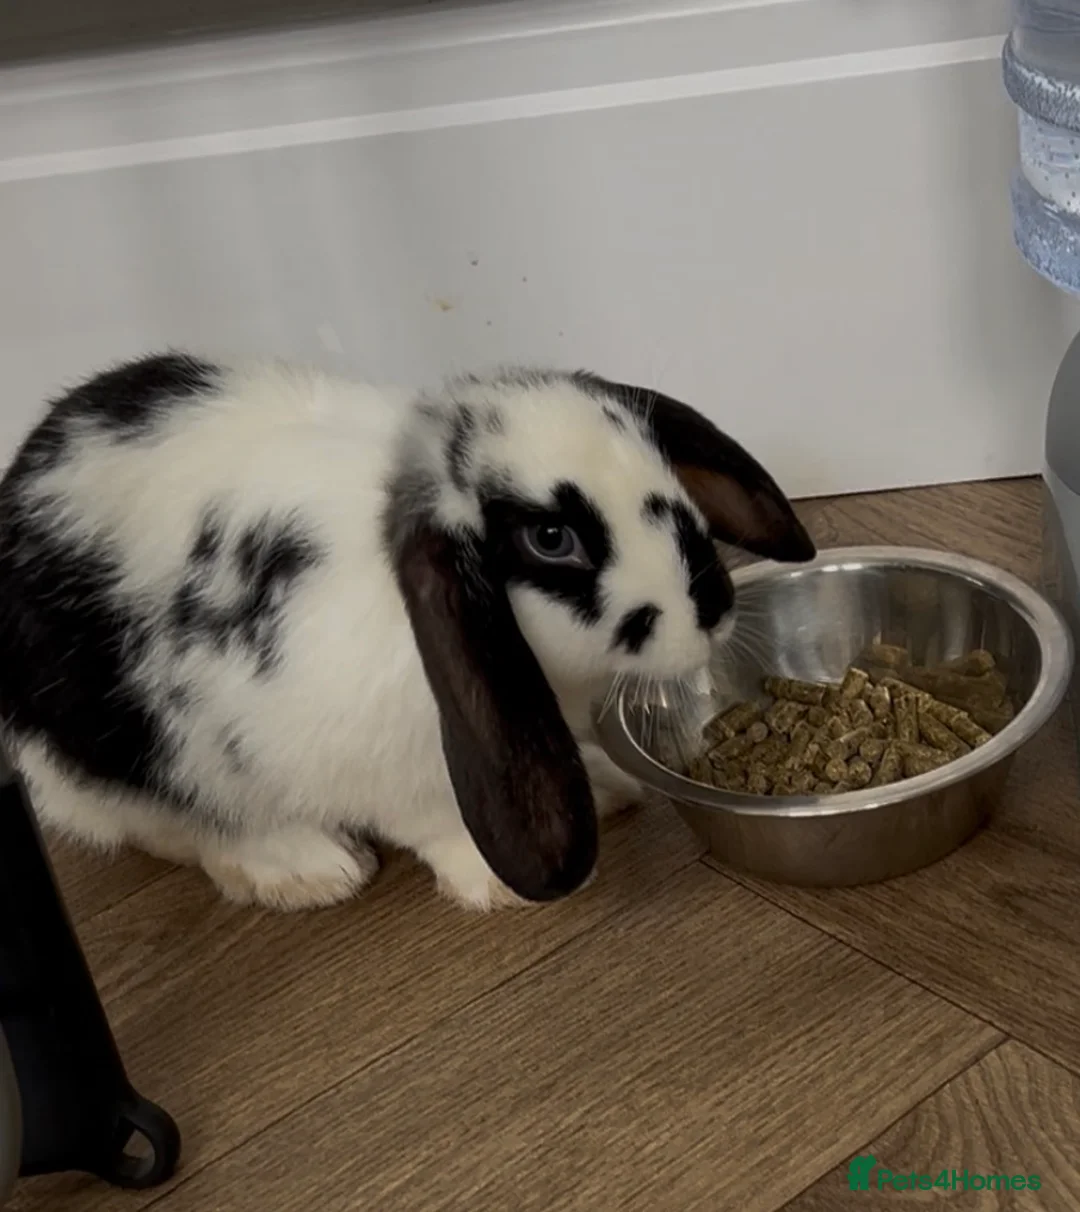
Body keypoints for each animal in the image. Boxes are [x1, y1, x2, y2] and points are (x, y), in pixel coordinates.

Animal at [0, 353, 814, 912]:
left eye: (662, 474)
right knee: (161, 817)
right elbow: (429, 816)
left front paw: (604, 784)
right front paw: (494, 883)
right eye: (552, 539)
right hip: (128, 743)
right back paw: (307, 869)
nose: (710, 607)